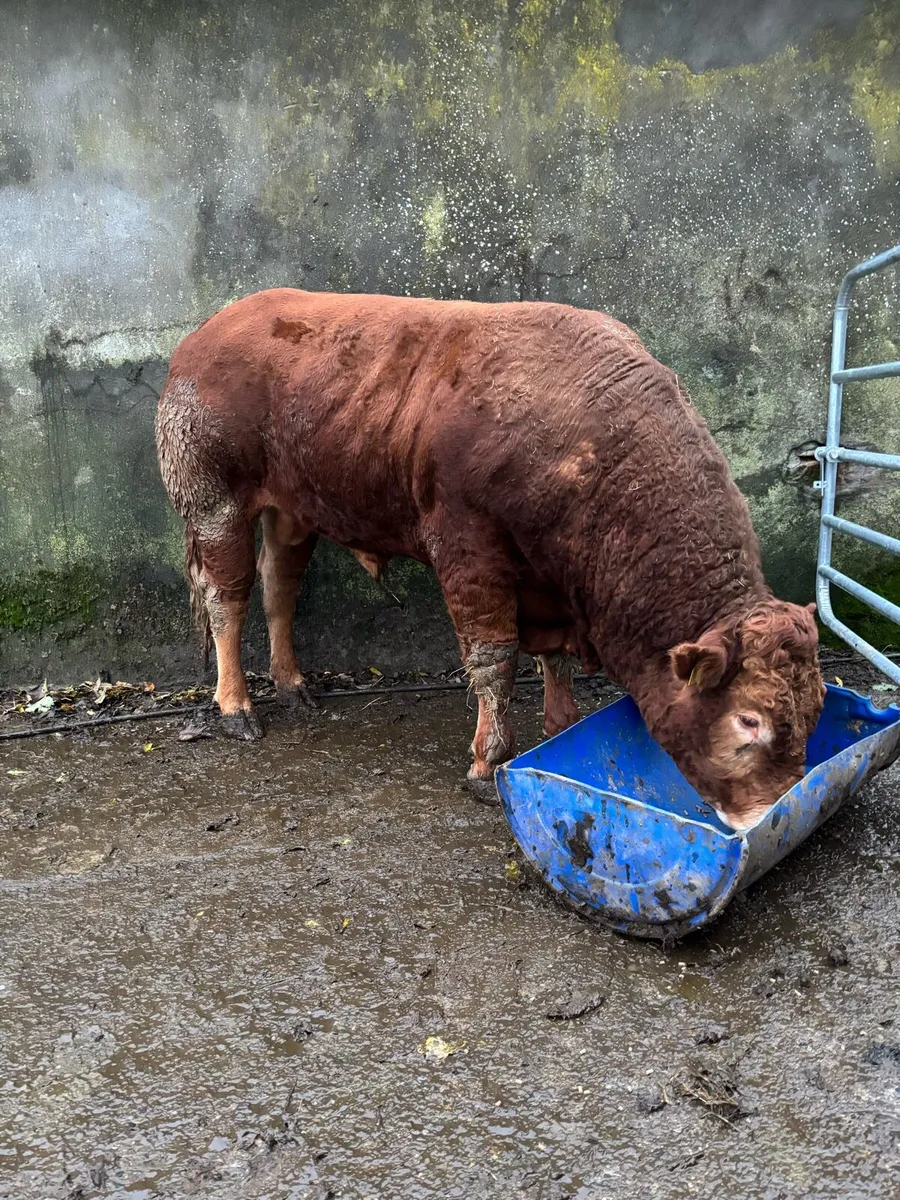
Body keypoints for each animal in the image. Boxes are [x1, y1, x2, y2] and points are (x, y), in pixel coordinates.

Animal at [155, 289, 825, 830]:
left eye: (815, 710)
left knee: (280, 588)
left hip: (291, 509)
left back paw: (292, 684)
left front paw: (561, 723)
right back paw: (236, 705)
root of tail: (206, 332)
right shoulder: (468, 548)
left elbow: (552, 657)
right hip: (214, 499)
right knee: (228, 598)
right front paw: (488, 759)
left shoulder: (548, 581)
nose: (775, 813)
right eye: (748, 721)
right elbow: (494, 659)